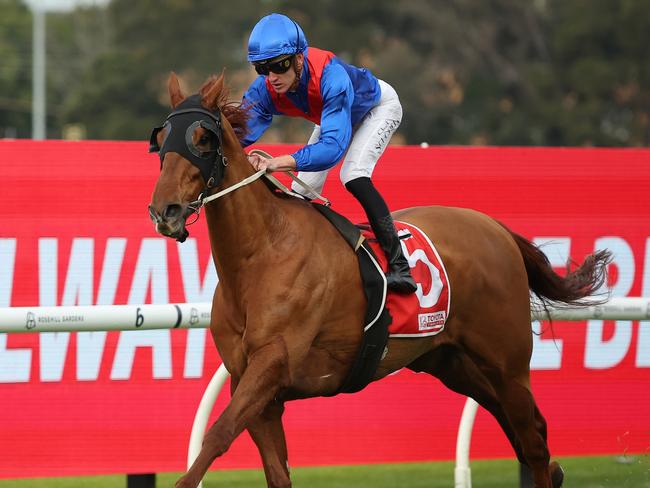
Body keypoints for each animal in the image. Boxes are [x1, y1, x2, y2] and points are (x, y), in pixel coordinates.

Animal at [148, 73, 608, 488]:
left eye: (202, 139)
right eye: (162, 137)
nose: (164, 211)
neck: (260, 253)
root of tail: (495, 228)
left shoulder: (272, 364)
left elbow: (217, 435)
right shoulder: (255, 386)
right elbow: (274, 471)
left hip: (507, 362)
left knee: (533, 441)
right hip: (449, 360)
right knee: (521, 432)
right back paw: (557, 471)